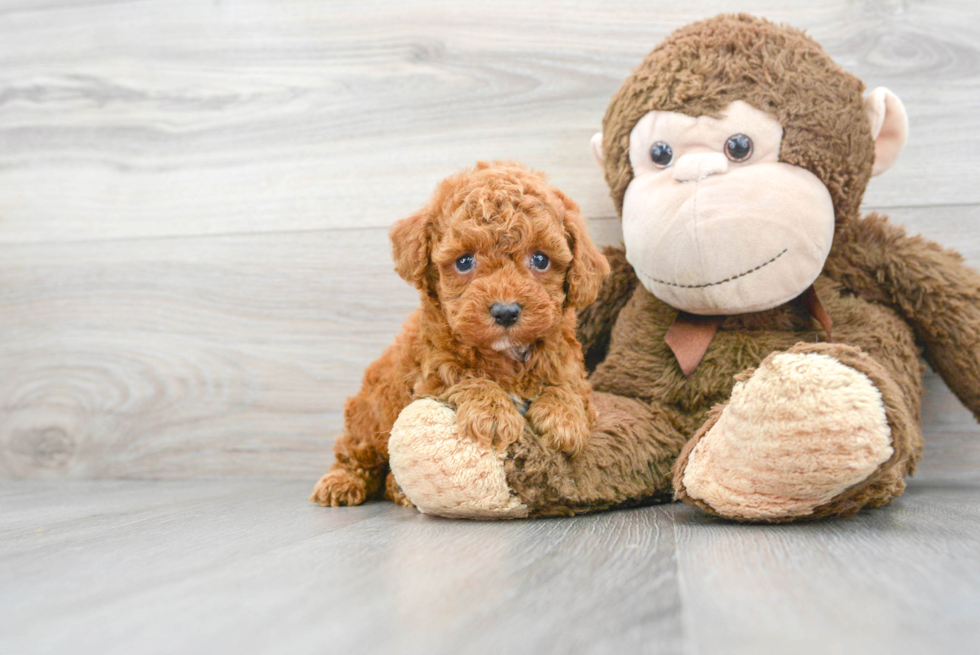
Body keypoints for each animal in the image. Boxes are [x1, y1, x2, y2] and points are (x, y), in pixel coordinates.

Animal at [310, 161, 608, 510]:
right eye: (464, 261)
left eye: (540, 259)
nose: (505, 312)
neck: (507, 354)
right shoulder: (431, 376)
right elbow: (466, 378)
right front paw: (492, 413)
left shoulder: (571, 369)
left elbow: (567, 387)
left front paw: (564, 419)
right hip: (369, 419)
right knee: (355, 453)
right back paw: (341, 482)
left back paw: (398, 490)